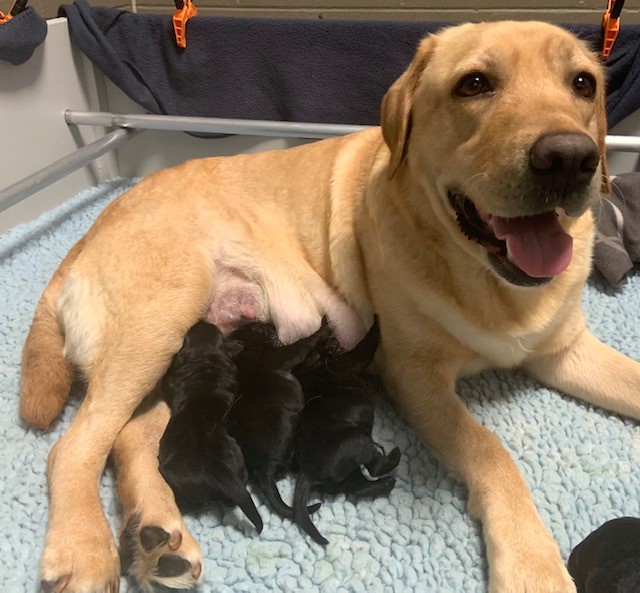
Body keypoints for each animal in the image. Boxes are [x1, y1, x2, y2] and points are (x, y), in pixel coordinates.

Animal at [20, 20, 640, 588]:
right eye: (474, 84)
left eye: (582, 83)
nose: (571, 158)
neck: (490, 282)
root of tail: (87, 235)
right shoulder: (415, 375)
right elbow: (491, 452)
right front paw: (532, 564)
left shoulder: (563, 349)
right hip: (160, 317)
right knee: (72, 448)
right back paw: (85, 550)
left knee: (130, 437)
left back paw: (155, 536)